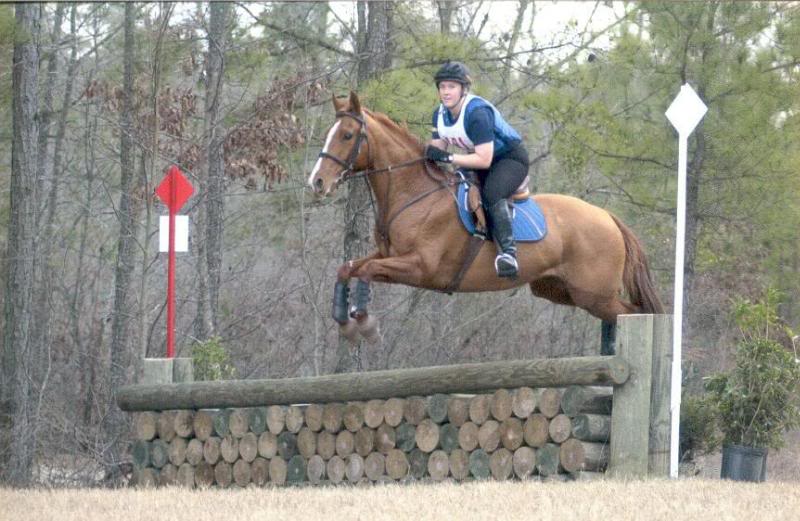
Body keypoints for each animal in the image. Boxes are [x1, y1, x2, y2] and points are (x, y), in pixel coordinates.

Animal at [308, 92, 664, 352]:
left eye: (347, 135)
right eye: (328, 134)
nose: (317, 182)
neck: (414, 192)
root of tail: (608, 217)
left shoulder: (420, 266)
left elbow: (366, 270)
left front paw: (365, 325)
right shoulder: (389, 256)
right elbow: (348, 268)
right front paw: (346, 323)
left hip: (594, 293)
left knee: (636, 314)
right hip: (559, 289)